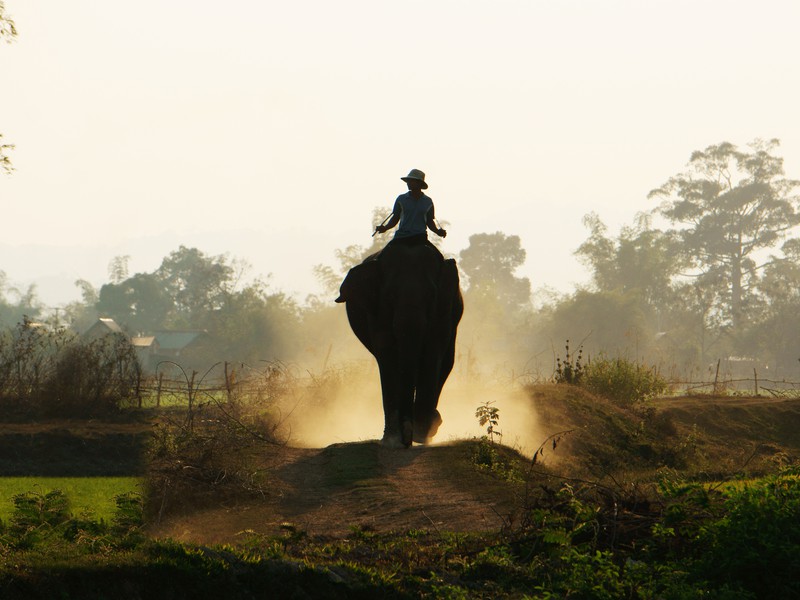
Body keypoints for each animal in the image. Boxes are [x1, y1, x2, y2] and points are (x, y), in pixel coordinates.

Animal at [336, 241, 462, 448]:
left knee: (446, 363)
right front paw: (393, 440)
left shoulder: (444, 306)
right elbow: (386, 353)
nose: (407, 438)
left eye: (432, 295)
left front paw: (420, 436)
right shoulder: (376, 310)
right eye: (390, 296)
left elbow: (433, 351)